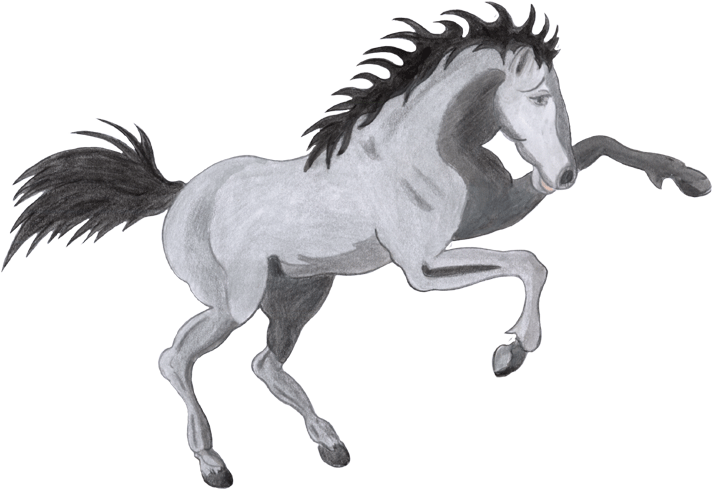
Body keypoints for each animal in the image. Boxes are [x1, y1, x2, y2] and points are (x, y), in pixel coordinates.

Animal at [5, 4, 710, 487]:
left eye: (559, 99)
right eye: (536, 96)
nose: (556, 177)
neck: (424, 147)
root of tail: (178, 195)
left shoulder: (491, 215)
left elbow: (598, 150)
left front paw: (686, 178)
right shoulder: (424, 267)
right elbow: (529, 261)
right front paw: (511, 353)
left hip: (304, 293)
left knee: (264, 364)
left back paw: (331, 445)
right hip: (236, 301)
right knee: (175, 358)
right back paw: (213, 464)